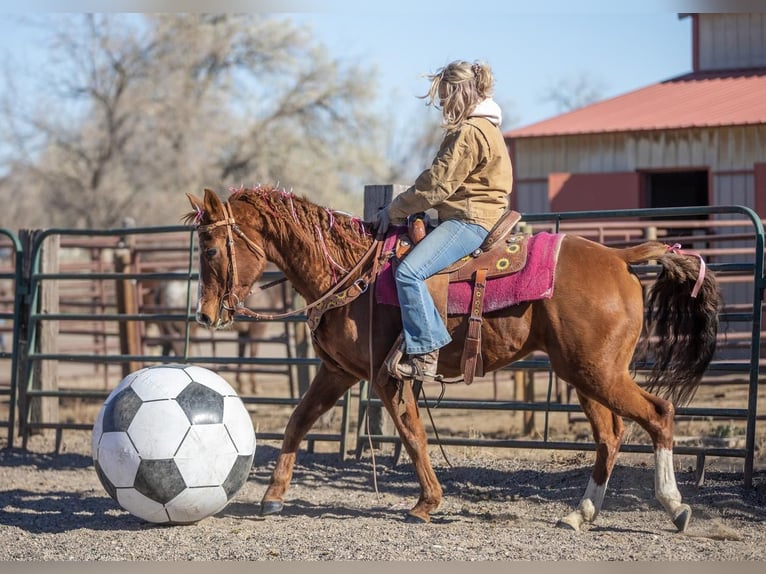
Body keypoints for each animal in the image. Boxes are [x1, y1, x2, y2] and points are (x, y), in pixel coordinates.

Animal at [183, 187, 724, 532]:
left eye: (211, 249)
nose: (205, 314)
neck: (353, 274)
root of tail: (619, 258)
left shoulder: (388, 378)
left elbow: (412, 435)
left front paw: (427, 502)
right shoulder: (338, 373)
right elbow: (297, 422)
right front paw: (272, 497)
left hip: (598, 372)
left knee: (658, 414)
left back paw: (674, 506)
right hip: (583, 375)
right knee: (610, 435)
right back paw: (580, 514)